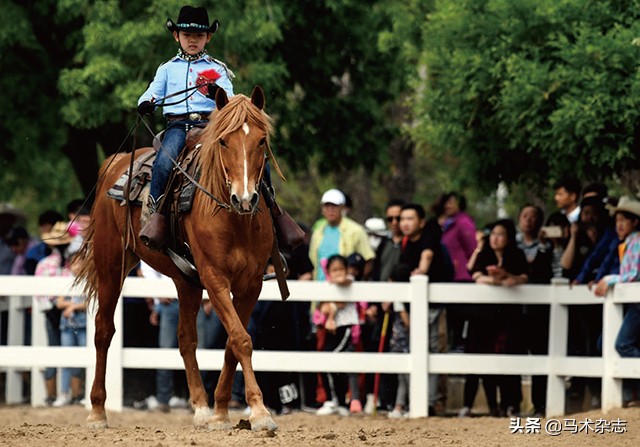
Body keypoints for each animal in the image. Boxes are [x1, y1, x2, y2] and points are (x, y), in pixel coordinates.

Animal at [74, 86, 278, 432]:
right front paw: (261, 412)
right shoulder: (214, 278)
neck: (235, 221)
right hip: (111, 263)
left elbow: (232, 343)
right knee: (103, 330)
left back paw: (202, 408)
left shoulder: (251, 285)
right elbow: (241, 339)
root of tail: (116, 163)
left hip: (186, 282)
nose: (245, 198)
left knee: (185, 339)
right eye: (223, 141)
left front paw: (221, 411)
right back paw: (97, 412)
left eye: (261, 140)